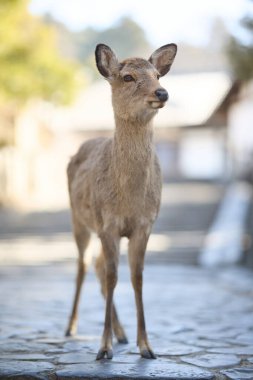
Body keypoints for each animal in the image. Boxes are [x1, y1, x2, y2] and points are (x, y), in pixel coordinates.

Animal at [65, 42, 178, 360]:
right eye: (128, 77)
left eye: (157, 75)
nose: (162, 93)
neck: (129, 201)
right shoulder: (107, 224)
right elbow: (114, 276)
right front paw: (103, 348)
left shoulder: (145, 225)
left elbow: (136, 278)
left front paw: (146, 346)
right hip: (79, 220)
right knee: (83, 266)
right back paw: (72, 328)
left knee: (98, 266)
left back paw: (122, 334)